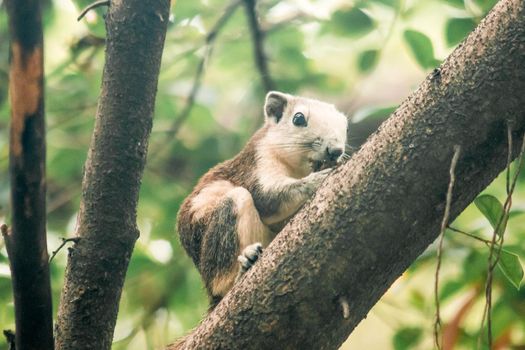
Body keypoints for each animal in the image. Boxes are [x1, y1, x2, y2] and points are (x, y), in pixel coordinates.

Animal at [176, 91, 348, 308]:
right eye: (298, 118)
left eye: (345, 126)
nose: (336, 150)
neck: (297, 169)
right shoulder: (256, 162)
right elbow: (267, 199)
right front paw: (316, 179)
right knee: (220, 282)